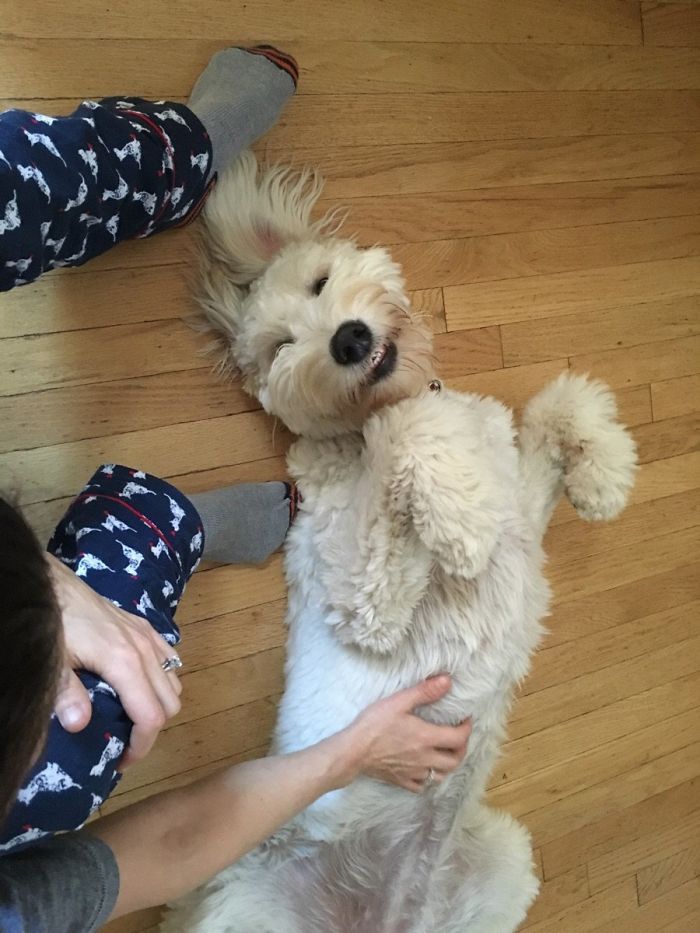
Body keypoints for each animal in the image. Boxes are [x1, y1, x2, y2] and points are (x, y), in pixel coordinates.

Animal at [165, 155, 640, 932]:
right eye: (281, 346)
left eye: (320, 283)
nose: (349, 340)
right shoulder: (362, 598)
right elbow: (409, 430)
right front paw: (458, 520)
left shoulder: (517, 509)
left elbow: (556, 405)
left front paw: (604, 473)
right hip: (256, 908)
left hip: (500, 867)